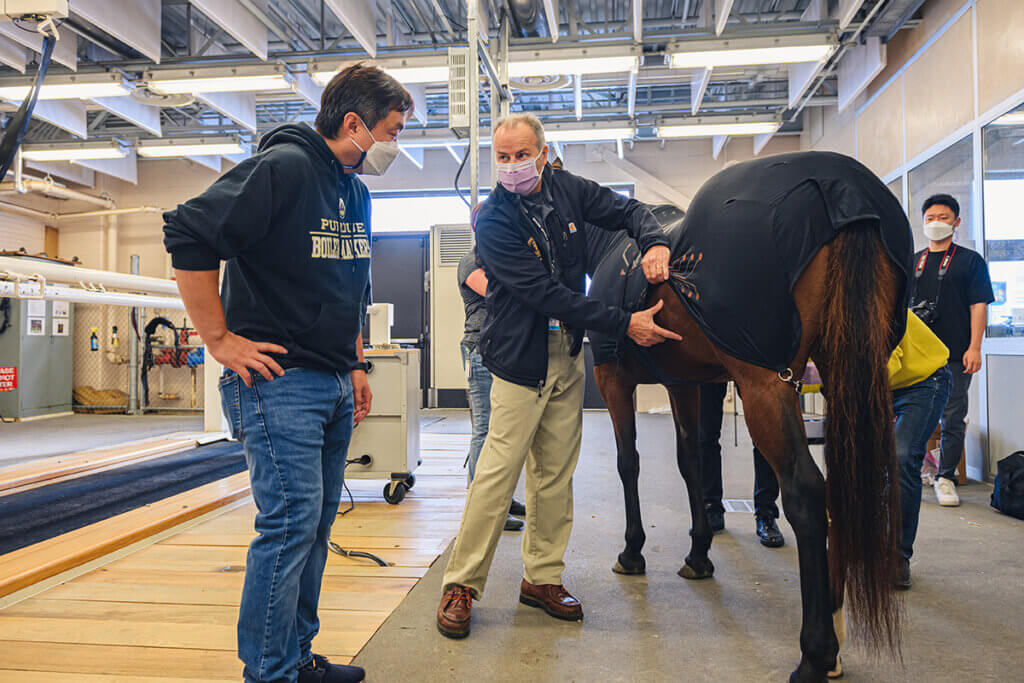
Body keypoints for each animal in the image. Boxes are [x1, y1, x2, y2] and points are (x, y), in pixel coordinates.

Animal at [585, 152, 913, 679]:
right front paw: (699, 554)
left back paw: (815, 653)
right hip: (845, 376)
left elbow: (627, 463)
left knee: (805, 492)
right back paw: (837, 629)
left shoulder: (614, 380)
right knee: (841, 488)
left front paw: (632, 552)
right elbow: (692, 463)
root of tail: (846, 194)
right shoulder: (685, 386)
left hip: (767, 385)